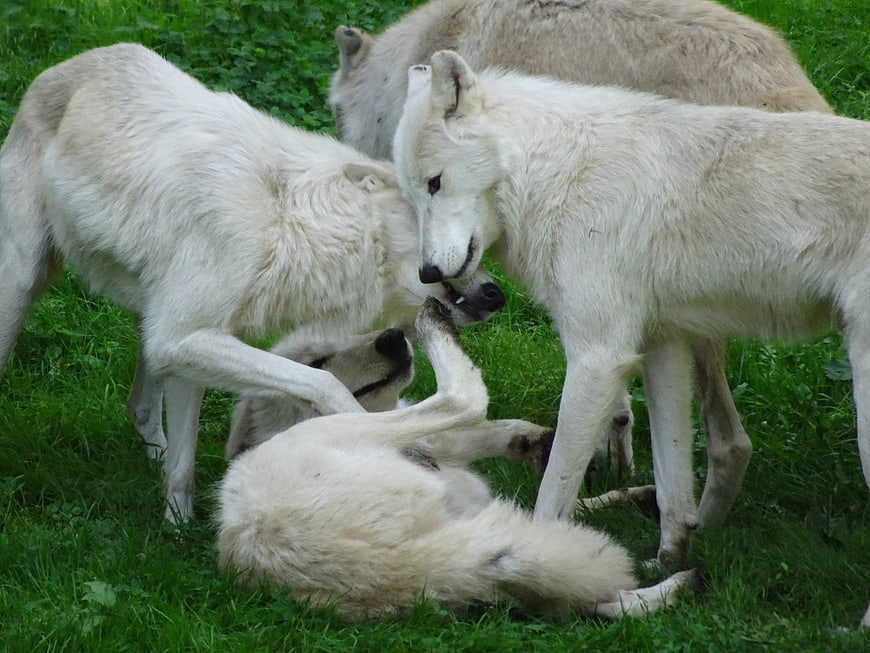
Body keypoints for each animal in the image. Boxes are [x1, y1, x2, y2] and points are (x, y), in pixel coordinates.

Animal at [0, 43, 504, 523]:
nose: (496, 294)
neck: (286, 220)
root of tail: (66, 66)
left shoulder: (187, 341)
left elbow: (182, 466)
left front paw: (176, 533)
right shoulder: (182, 338)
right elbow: (323, 385)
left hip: (153, 326)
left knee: (141, 410)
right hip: (22, 289)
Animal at [217, 298, 698, 620]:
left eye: (356, 331)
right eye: (317, 359)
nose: (392, 337)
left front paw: (537, 444)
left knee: (591, 602)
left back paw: (674, 585)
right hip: (341, 432)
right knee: (461, 398)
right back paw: (433, 321)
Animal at [393, 51, 870, 626]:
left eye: (435, 183)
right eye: (413, 193)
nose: (427, 273)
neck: (553, 175)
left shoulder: (598, 357)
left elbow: (553, 492)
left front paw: (552, 561)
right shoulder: (663, 347)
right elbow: (672, 486)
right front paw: (667, 562)